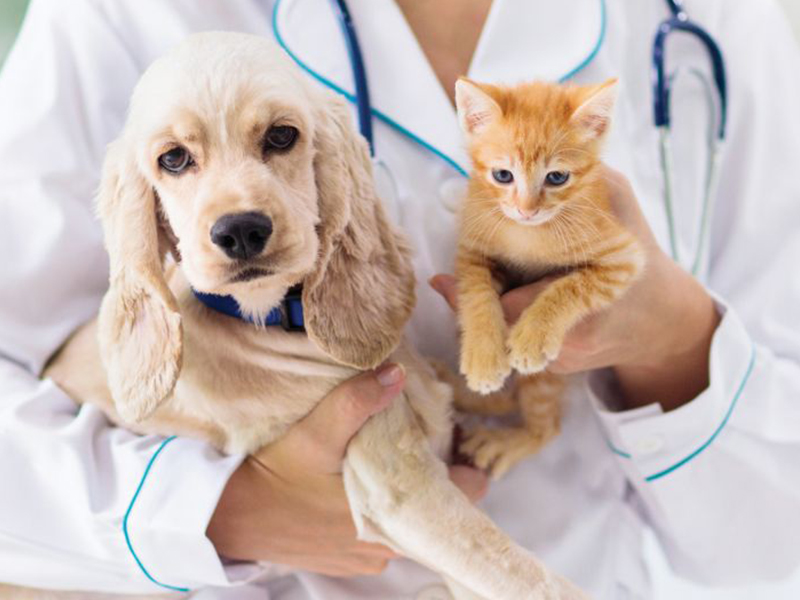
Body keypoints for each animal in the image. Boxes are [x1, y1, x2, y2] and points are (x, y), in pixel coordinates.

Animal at [28, 31, 584, 600]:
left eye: (281, 136)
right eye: (174, 159)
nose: (240, 231)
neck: (279, 320)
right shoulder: (397, 486)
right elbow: (530, 578)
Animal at [454, 77, 648, 476]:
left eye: (557, 177)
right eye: (502, 175)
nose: (527, 210)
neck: (528, 234)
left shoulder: (624, 257)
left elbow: (571, 286)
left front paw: (533, 336)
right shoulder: (472, 249)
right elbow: (476, 295)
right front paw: (483, 356)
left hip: (546, 379)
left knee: (546, 426)